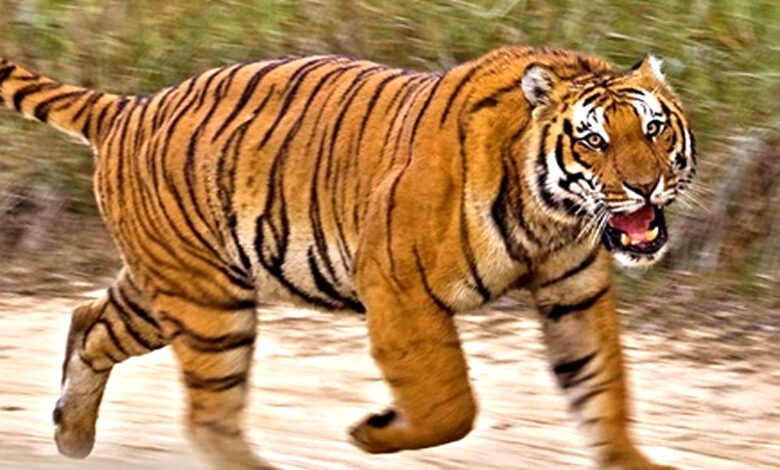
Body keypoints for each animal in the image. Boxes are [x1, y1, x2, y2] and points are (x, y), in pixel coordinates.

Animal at [0, 45, 695, 469]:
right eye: (594, 141)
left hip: (171, 288)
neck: (550, 219)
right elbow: (451, 405)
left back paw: (71, 432)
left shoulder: (575, 295)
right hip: (209, 306)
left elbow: (604, 388)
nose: (644, 186)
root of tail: (130, 106)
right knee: (208, 417)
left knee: (89, 323)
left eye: (654, 129)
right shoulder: (398, 287)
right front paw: (374, 431)